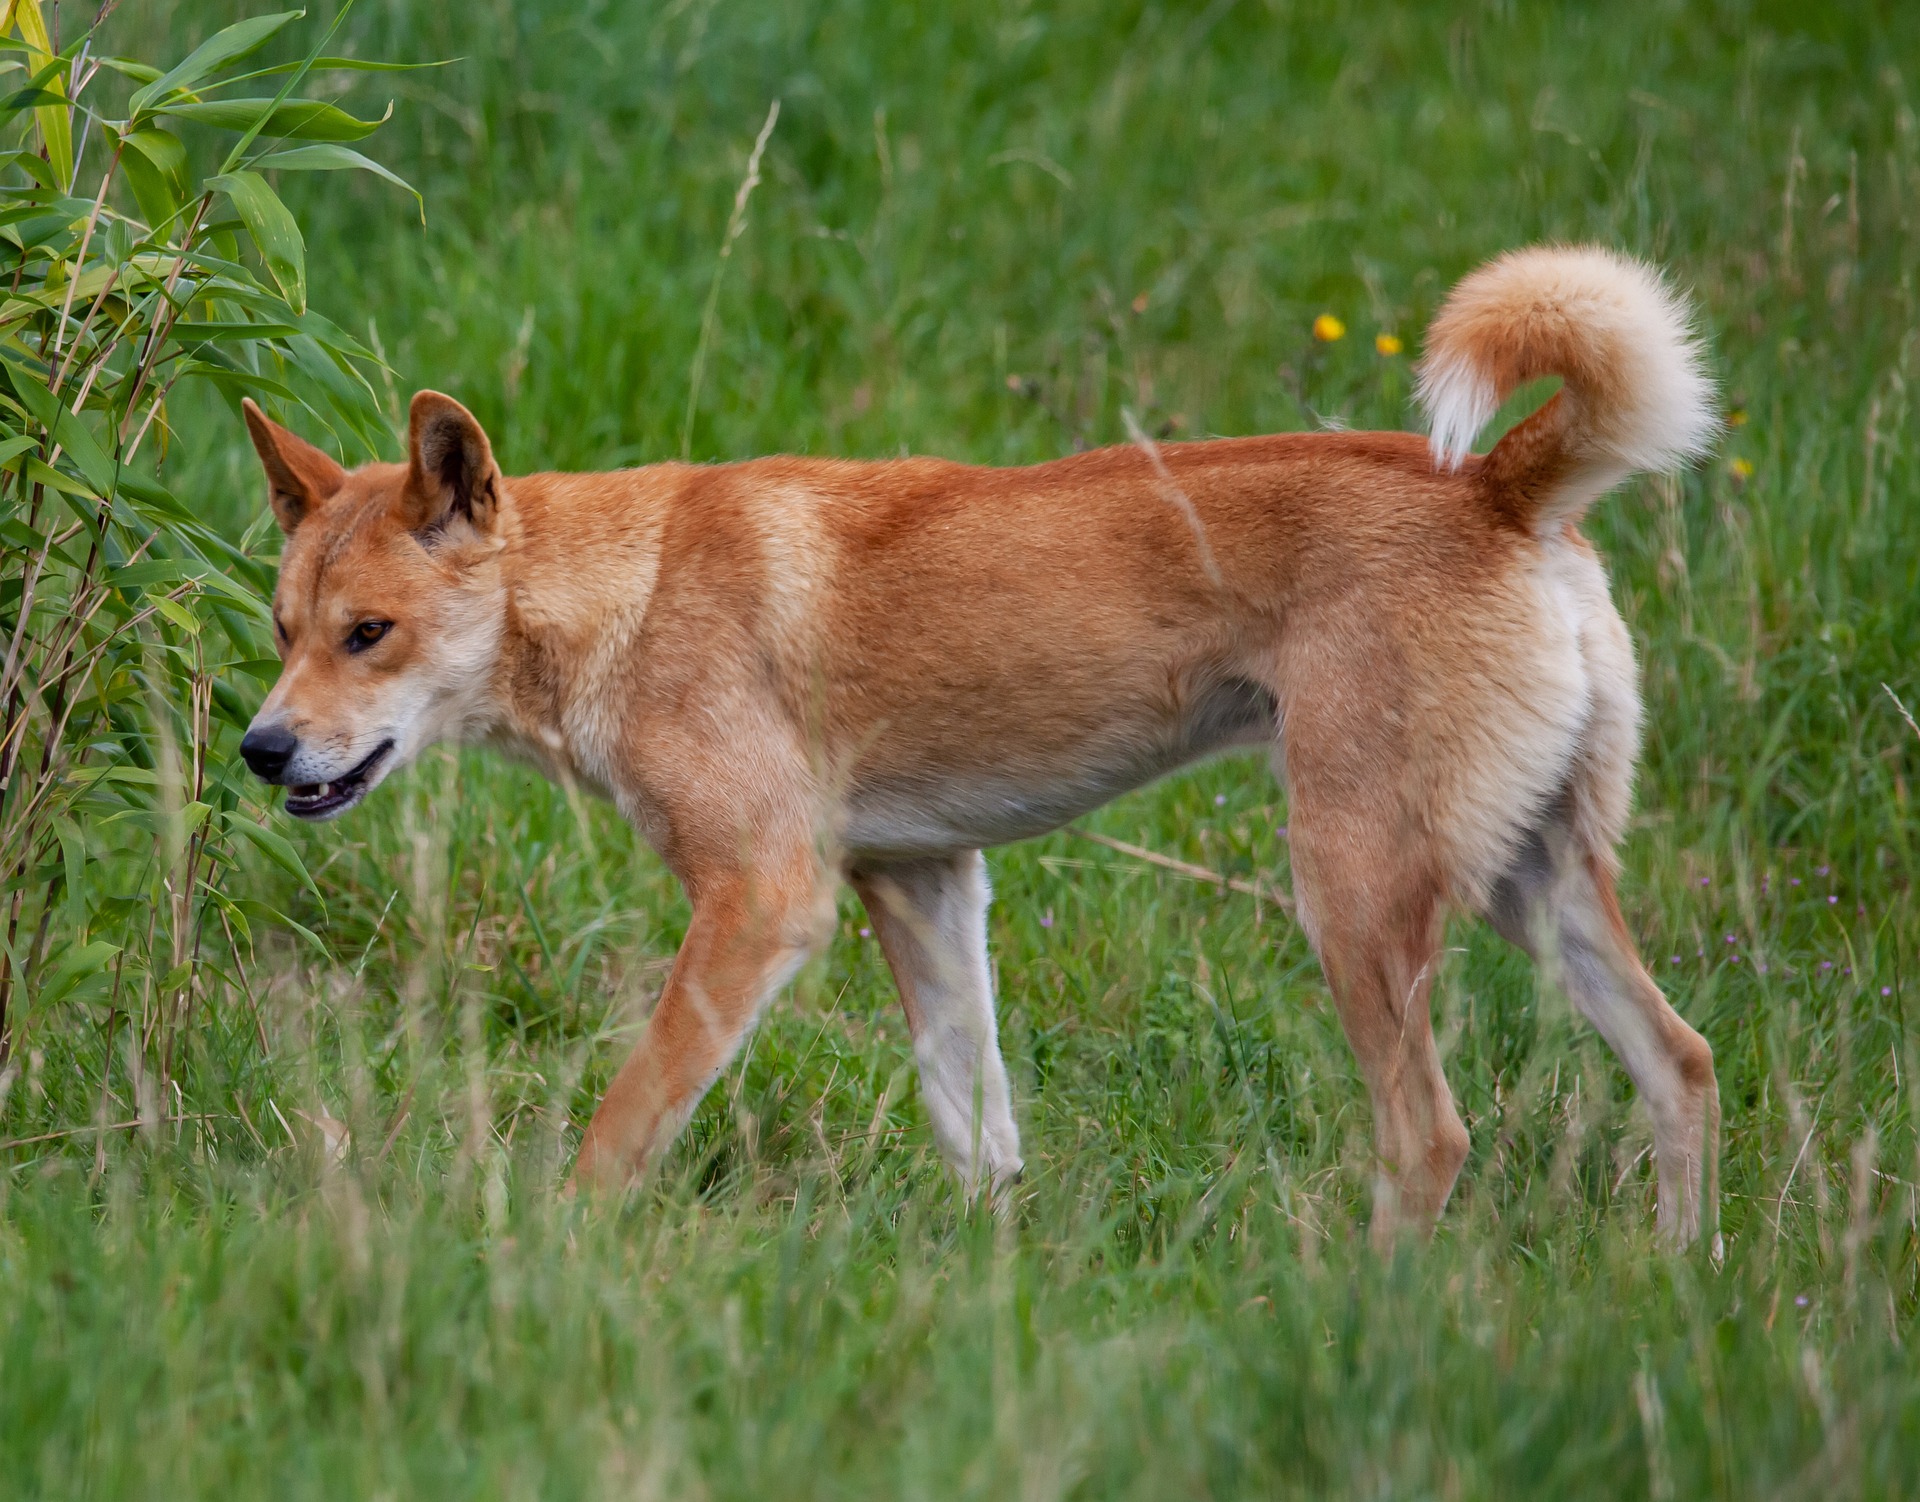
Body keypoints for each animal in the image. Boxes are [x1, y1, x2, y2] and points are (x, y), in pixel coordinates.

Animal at [240, 247, 1728, 1252]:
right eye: (282, 627)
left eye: (369, 633)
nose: (259, 746)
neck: (633, 591)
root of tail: (1499, 487)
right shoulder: (922, 883)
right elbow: (979, 1130)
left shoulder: (762, 899)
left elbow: (625, 1120)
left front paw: (560, 1248)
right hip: (1534, 879)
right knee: (1683, 1060)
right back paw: (1673, 1285)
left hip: (1356, 891)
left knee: (1431, 1134)